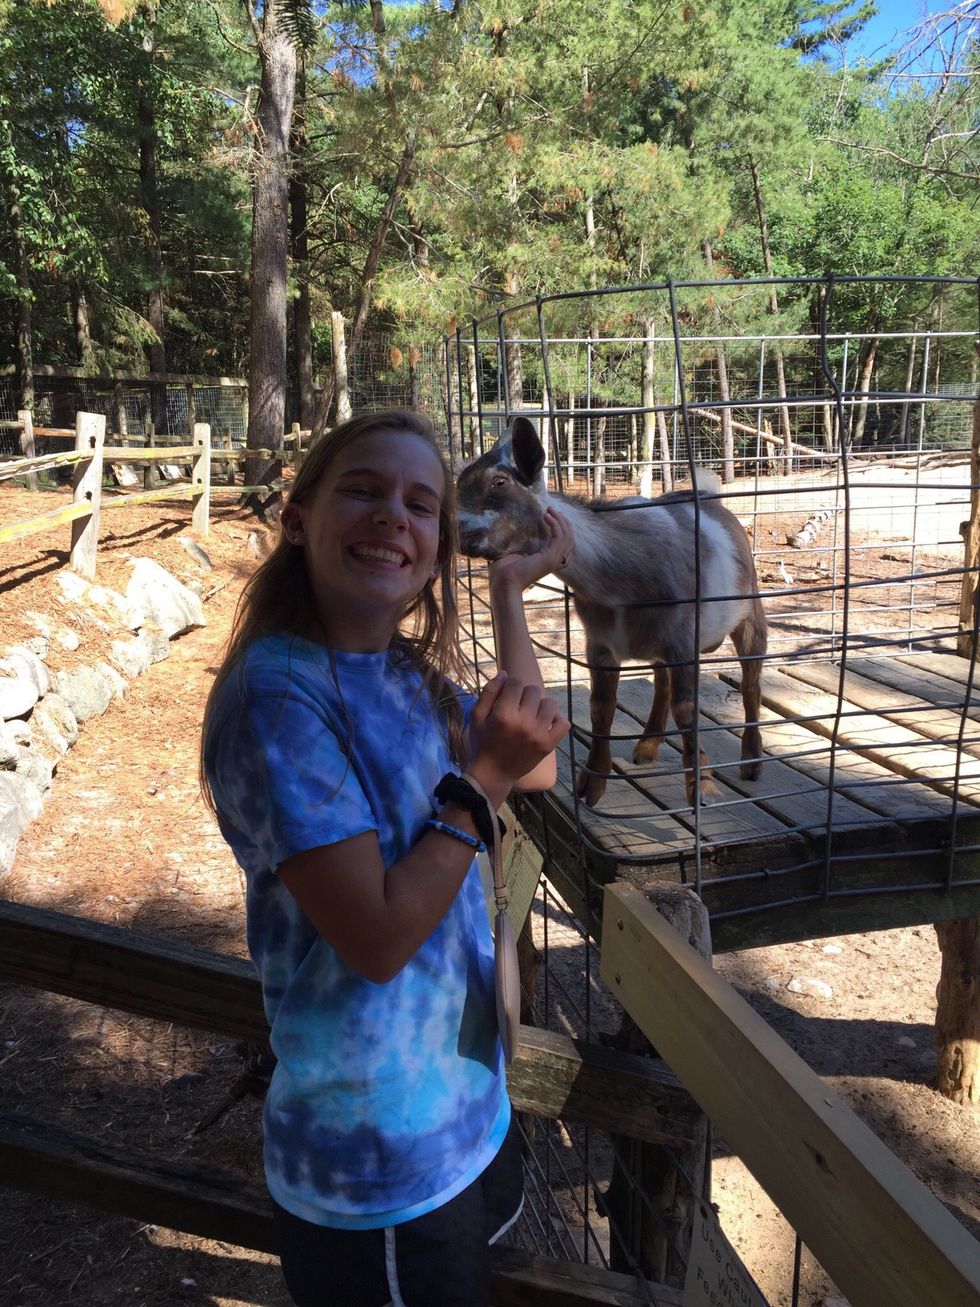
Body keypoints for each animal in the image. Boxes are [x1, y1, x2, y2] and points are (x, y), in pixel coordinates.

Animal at [456, 416, 767, 806]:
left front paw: (702, 786)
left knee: (751, 679)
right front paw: (592, 781)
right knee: (661, 681)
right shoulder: (600, 645)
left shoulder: (683, 641)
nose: (459, 532)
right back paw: (647, 746)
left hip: (749, 610)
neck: (617, 581)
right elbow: (600, 707)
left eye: (499, 482)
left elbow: (686, 710)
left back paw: (752, 761)